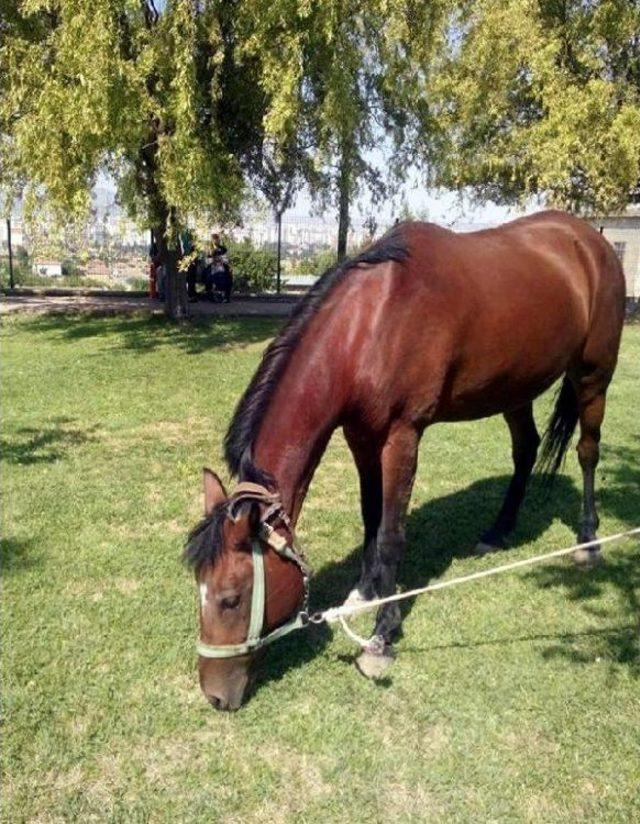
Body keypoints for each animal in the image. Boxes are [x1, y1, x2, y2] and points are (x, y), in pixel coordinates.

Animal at [186, 211, 624, 708]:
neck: (372, 322)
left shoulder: (402, 437)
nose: (215, 695)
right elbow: (371, 519)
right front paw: (364, 593)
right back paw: (498, 530)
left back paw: (588, 539)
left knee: (587, 452)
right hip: (515, 387)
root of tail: (590, 240)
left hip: (593, 376)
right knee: (525, 449)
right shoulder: (360, 436)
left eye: (231, 598)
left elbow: (393, 534)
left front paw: (382, 636)